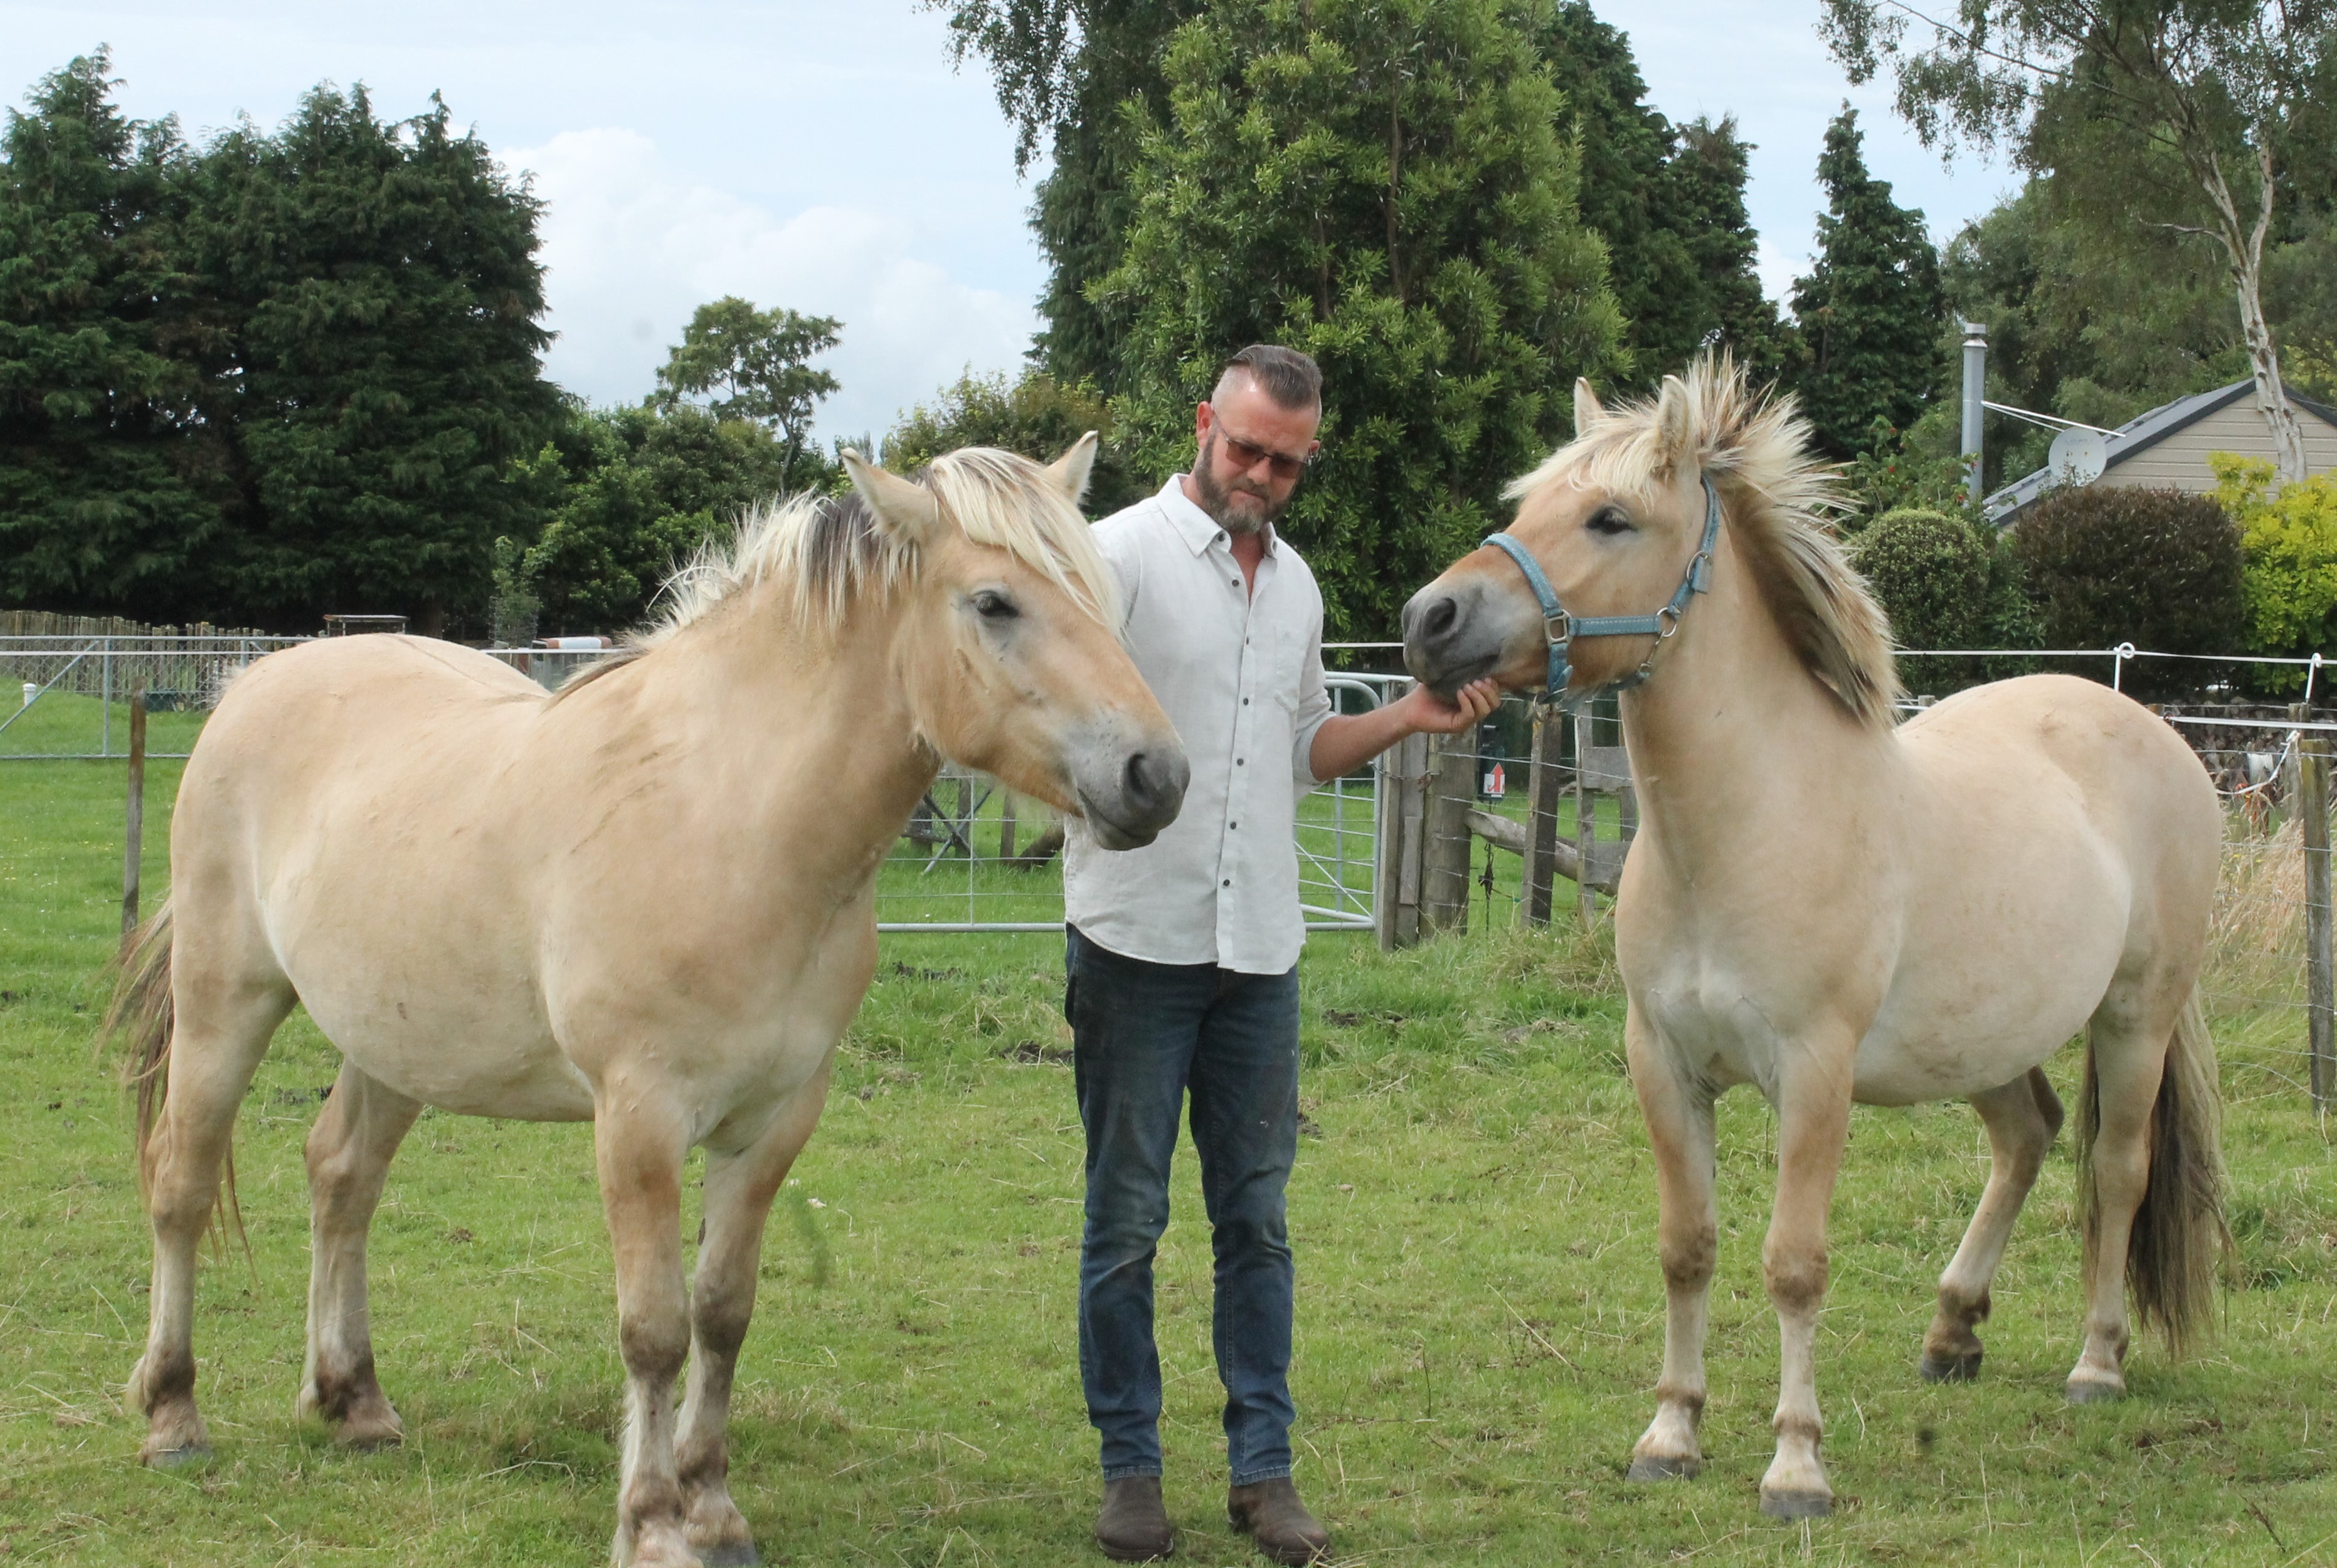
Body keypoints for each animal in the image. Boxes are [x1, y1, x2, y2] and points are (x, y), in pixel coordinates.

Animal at [105, 439, 1189, 1568]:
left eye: (1100, 595)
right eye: (993, 602)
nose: (1154, 776)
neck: (729, 820)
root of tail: (255, 680)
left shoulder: (774, 1122)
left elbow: (722, 1311)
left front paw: (712, 1505)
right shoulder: (639, 1119)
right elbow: (654, 1327)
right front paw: (653, 1519)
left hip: (392, 1042)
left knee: (341, 1178)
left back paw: (351, 1399)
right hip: (225, 1001)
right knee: (181, 1183)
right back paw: (174, 1416)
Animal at [1401, 358, 2226, 1521]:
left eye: (1610, 518)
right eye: (1525, 508)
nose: (1428, 620)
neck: (1747, 828)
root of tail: (2155, 732)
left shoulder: (1814, 1073)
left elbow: (1793, 1262)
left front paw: (1795, 1464)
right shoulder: (1661, 1065)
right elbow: (1686, 1248)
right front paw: (1669, 1435)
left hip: (2133, 1020)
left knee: (2115, 1170)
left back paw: (2095, 1364)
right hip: (1984, 1040)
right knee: (2027, 1138)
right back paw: (1952, 1330)